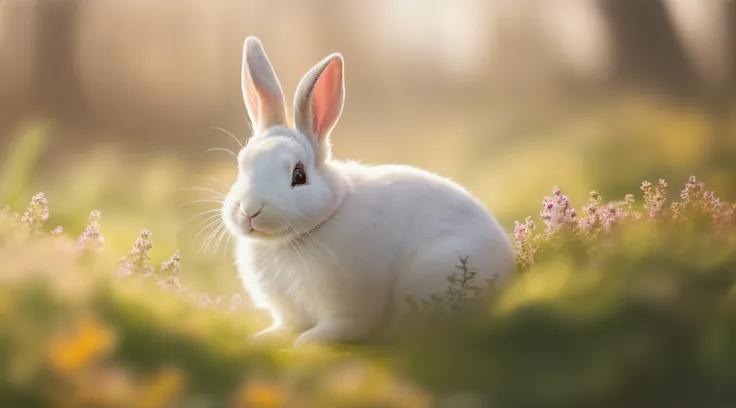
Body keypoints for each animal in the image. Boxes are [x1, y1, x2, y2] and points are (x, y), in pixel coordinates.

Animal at [221, 36, 516, 348]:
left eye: (299, 176)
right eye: (242, 165)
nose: (249, 210)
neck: (289, 242)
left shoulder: (347, 307)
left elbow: (340, 327)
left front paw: (307, 342)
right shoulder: (287, 311)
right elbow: (286, 326)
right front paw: (260, 339)